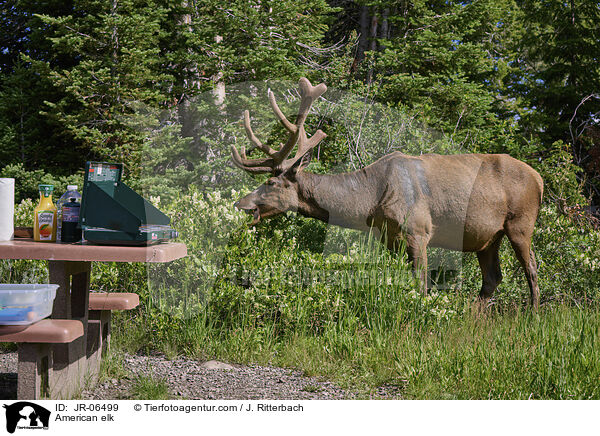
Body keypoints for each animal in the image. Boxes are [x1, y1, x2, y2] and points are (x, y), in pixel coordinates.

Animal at [231, 80, 544, 308]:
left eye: (271, 183)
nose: (240, 203)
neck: (371, 201)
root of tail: (540, 179)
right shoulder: (390, 238)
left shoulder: (418, 230)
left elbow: (421, 284)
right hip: (487, 237)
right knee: (492, 278)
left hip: (520, 224)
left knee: (531, 268)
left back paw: (533, 315)